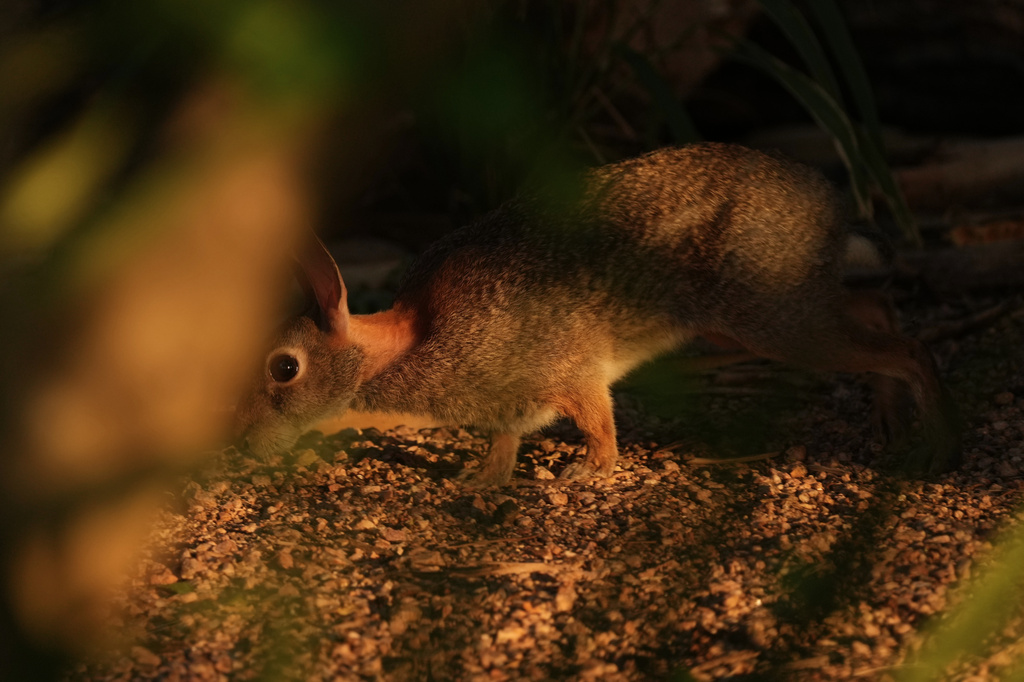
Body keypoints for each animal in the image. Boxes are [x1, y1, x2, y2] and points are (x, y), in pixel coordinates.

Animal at [235, 142, 959, 487]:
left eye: (284, 369)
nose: (244, 444)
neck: (403, 343)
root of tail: (832, 211)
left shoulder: (570, 371)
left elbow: (597, 422)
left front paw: (588, 473)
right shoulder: (513, 402)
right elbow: (507, 439)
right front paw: (481, 482)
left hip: (773, 316)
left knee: (910, 349)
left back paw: (934, 441)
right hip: (769, 310)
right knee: (875, 305)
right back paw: (892, 419)